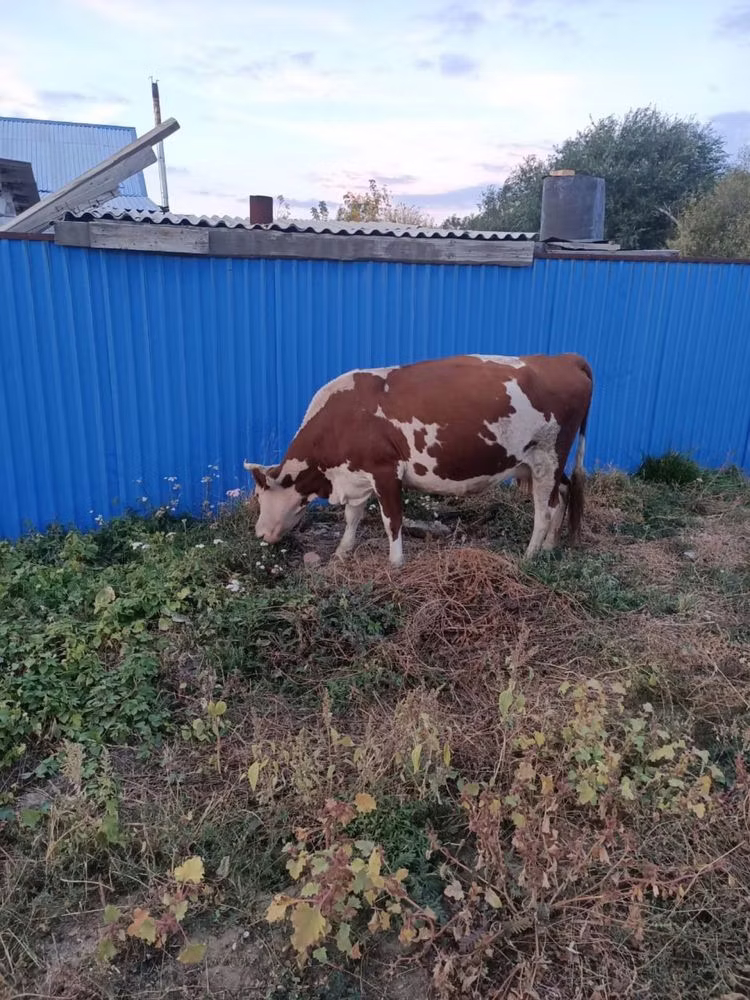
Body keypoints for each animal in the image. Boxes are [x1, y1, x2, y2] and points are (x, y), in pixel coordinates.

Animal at [244, 353, 593, 567]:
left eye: (260, 496)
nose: (259, 534)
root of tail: (564, 358)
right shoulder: (357, 474)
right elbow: (352, 516)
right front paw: (343, 552)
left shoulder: (385, 471)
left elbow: (392, 521)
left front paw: (395, 563)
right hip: (540, 461)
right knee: (562, 494)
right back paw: (549, 547)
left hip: (548, 455)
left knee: (544, 509)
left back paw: (530, 556)